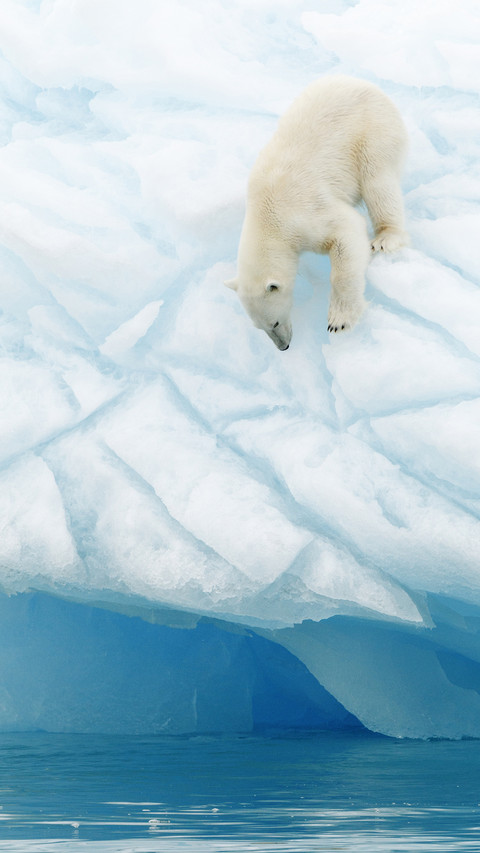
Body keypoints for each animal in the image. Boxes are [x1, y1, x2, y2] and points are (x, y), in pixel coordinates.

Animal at [225, 75, 408, 350]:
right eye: (260, 328)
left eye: (274, 322)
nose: (283, 346)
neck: (265, 215)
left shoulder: (303, 214)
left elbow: (347, 232)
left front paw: (339, 320)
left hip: (373, 131)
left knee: (377, 180)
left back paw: (386, 237)